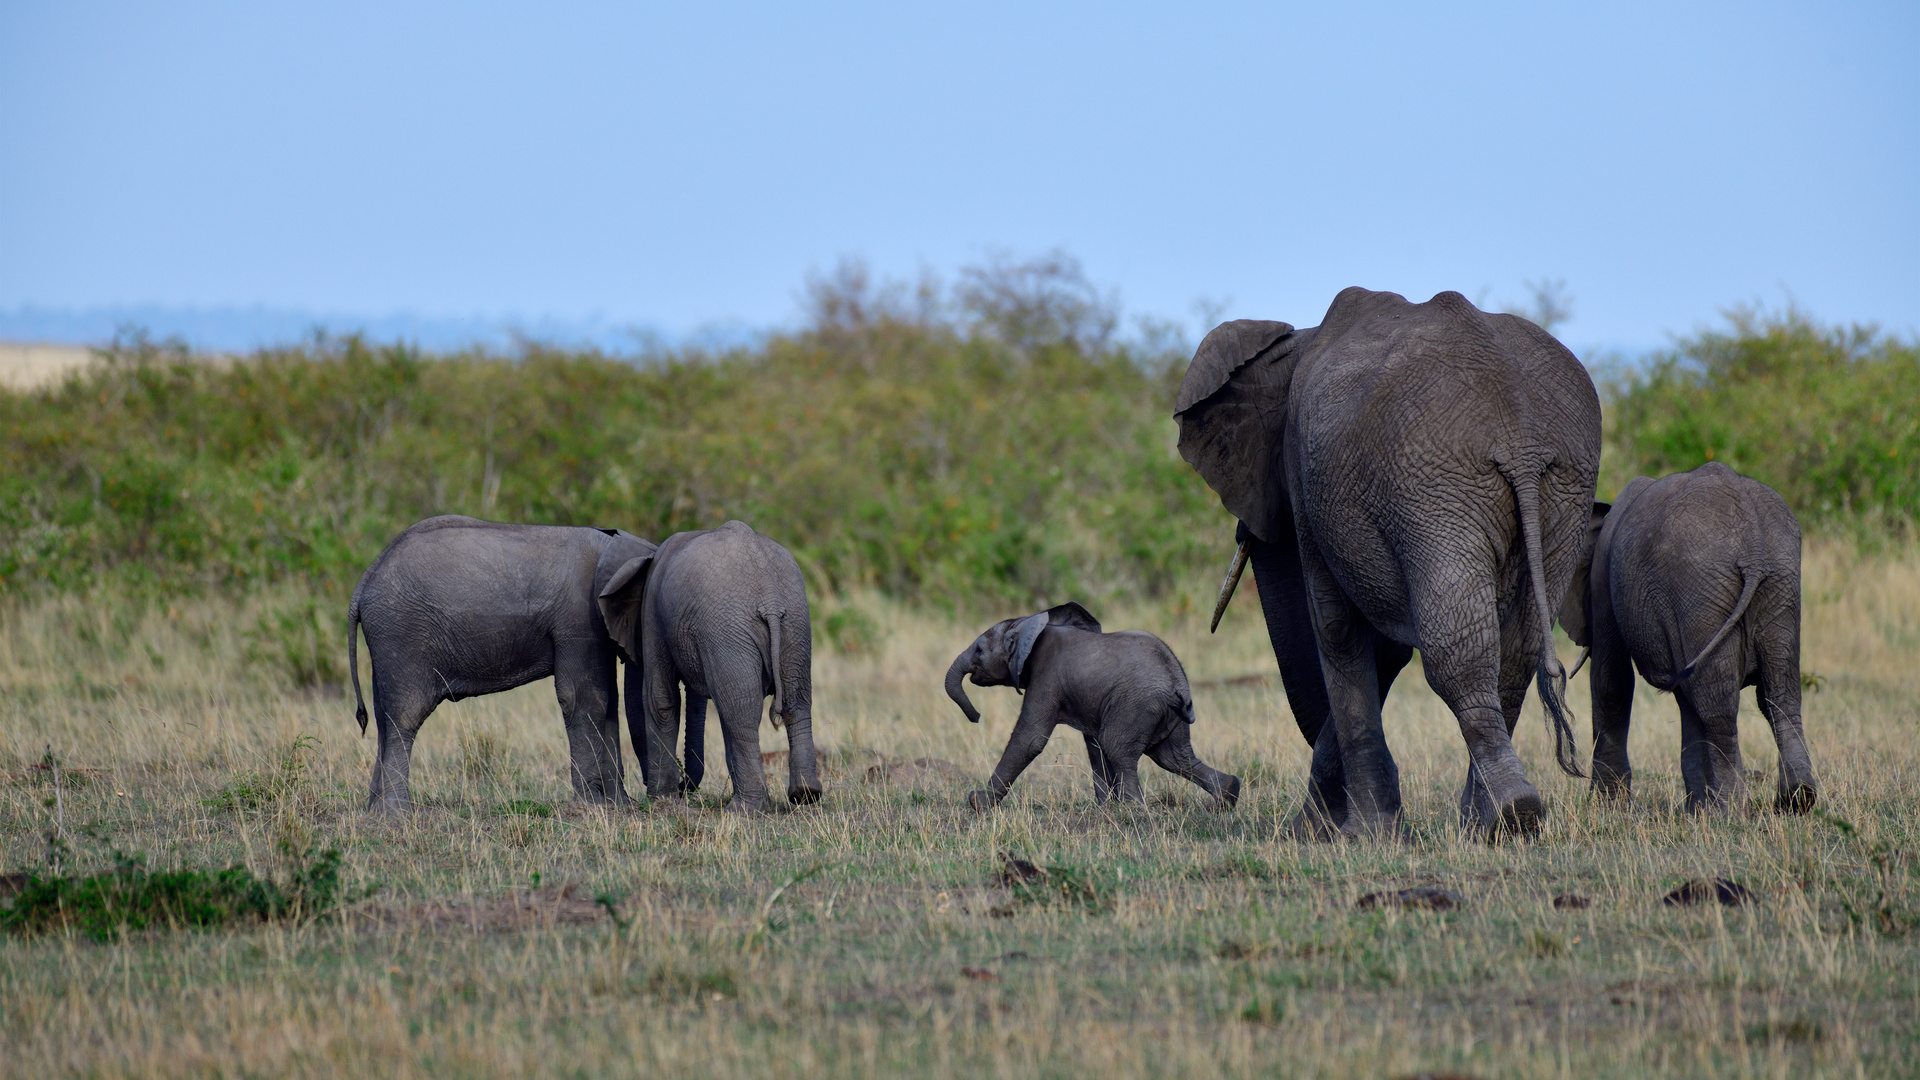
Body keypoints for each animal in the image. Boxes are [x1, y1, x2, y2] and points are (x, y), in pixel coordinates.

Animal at [345, 511, 706, 807]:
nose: (681, 788)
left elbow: (606, 703)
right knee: (405, 716)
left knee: (383, 717)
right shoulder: (578, 616)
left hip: (388, 642)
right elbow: (584, 697)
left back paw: (375, 811)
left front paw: (618, 805)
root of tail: (363, 583)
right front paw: (594, 805)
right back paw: (396, 815)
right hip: (402, 633)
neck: (615, 547)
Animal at [591, 518, 817, 807]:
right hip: (794, 622)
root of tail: (769, 596)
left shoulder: (653, 614)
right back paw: (805, 794)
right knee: (793, 702)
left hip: (730, 629)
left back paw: (744, 809)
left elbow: (659, 698)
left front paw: (661, 800)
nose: (683, 786)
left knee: (741, 711)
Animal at [944, 595, 1244, 807]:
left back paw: (1134, 809)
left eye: (979, 650)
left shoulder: (1047, 676)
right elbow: (1093, 744)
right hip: (1165, 714)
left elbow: (1030, 739)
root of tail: (1177, 684)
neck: (1027, 623)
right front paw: (1103, 807)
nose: (977, 717)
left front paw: (977, 802)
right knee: (1173, 757)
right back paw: (1226, 797)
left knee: (1120, 747)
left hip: (1136, 703)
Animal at [1167, 286, 1605, 834]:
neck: (1299, 341)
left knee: (1456, 650)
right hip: (1560, 488)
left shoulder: (1308, 474)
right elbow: (1385, 643)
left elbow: (1336, 623)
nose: (1305, 826)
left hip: (1435, 489)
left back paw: (1508, 814)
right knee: (1516, 651)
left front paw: (1363, 833)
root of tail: (1520, 440)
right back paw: (1490, 823)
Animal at [1559, 457, 1812, 810]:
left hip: (1700, 586)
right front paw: (1697, 810)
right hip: (1780, 582)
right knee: (1780, 694)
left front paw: (1608, 808)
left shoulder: (1605, 580)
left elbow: (1611, 680)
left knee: (1717, 704)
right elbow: (1687, 701)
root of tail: (1754, 543)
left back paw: (1732, 811)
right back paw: (1796, 801)